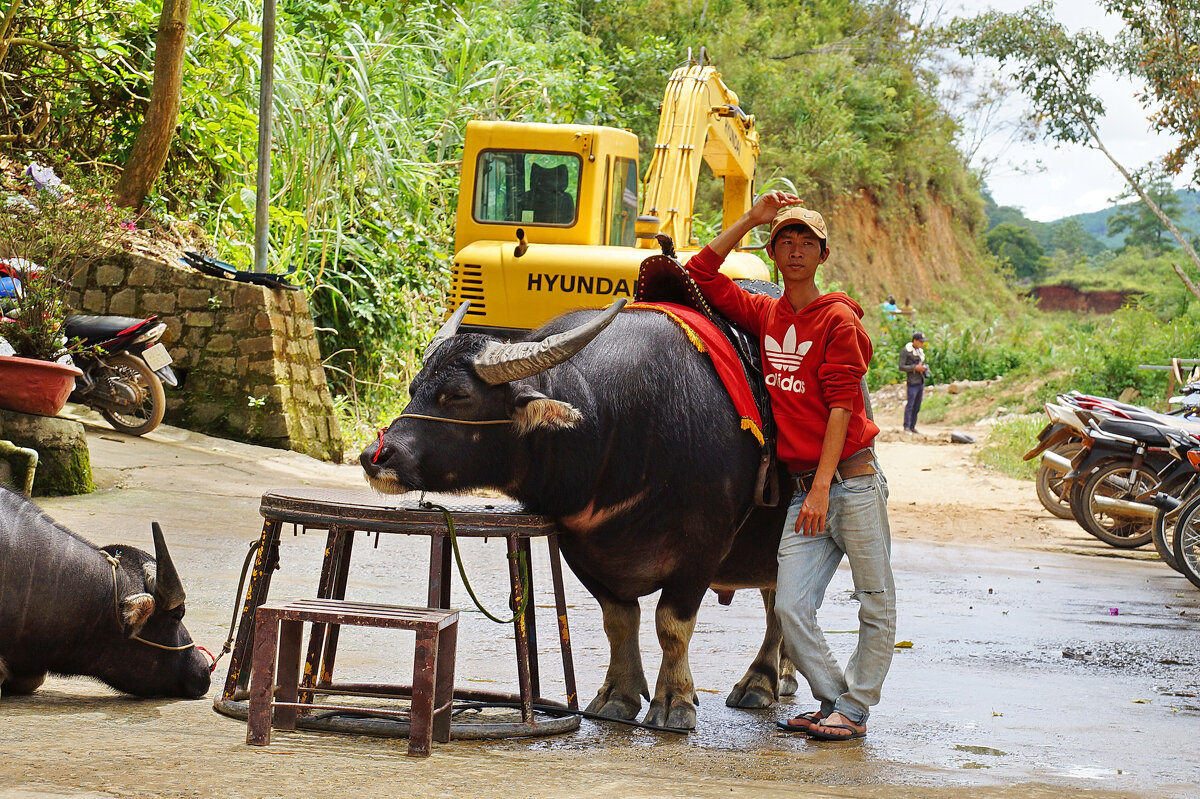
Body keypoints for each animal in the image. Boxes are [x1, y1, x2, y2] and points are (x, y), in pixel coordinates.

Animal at [362, 299, 796, 729]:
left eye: (457, 396)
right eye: (414, 389)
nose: (374, 456)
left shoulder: (703, 547)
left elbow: (671, 625)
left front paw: (674, 701)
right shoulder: (578, 545)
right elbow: (619, 621)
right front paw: (617, 696)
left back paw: (760, 681)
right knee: (777, 598)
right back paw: (776, 677)